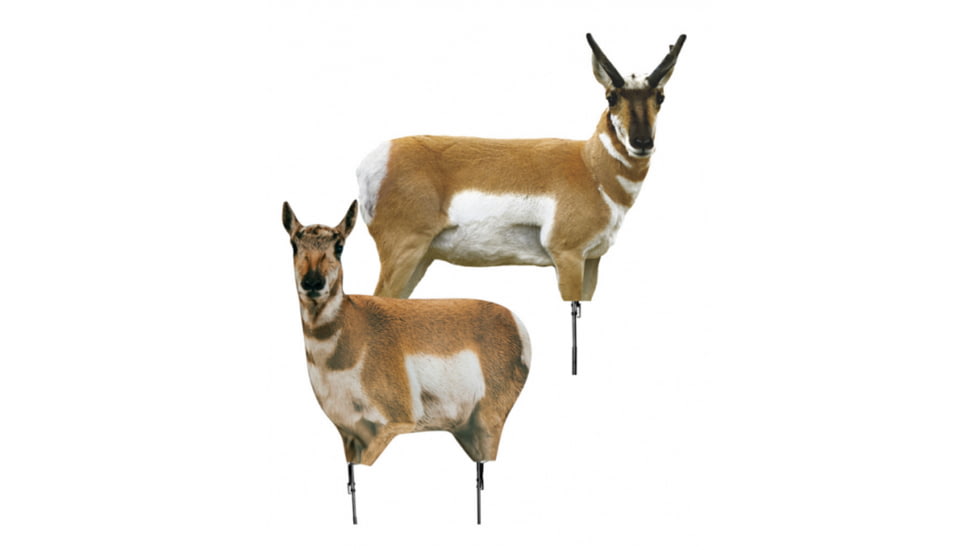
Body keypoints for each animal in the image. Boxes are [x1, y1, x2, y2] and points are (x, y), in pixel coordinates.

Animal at [282, 200, 530, 524]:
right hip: (467, 430)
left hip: (489, 422)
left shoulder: (393, 423)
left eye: (339, 246)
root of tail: (514, 320)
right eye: (293, 244)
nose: (313, 282)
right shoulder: (348, 433)